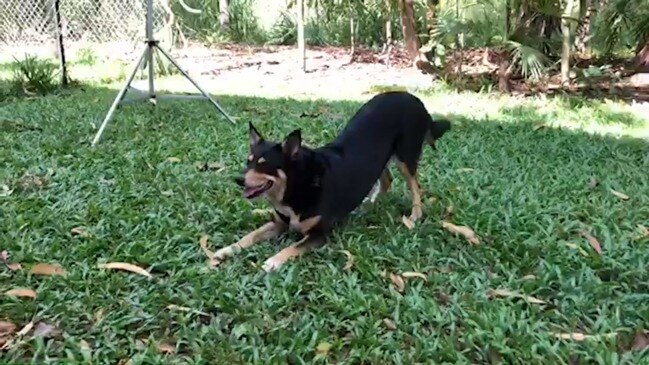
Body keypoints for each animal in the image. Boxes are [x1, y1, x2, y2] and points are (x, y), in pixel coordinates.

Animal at [215, 91, 448, 270]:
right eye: (248, 162)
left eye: (264, 164)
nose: (238, 179)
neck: (296, 184)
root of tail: (414, 98)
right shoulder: (278, 224)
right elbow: (250, 236)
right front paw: (226, 250)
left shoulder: (319, 234)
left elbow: (292, 247)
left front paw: (272, 261)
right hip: (379, 158)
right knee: (386, 179)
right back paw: (368, 204)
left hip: (405, 156)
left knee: (415, 186)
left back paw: (415, 214)